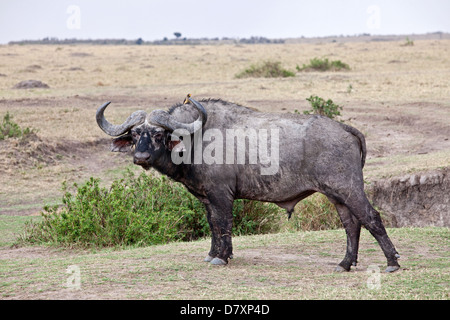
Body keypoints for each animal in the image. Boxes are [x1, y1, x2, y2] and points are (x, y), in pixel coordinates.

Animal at [96, 95, 400, 272]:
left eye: (159, 134)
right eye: (136, 134)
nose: (141, 157)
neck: (197, 138)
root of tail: (345, 128)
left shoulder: (221, 196)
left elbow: (224, 224)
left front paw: (221, 257)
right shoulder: (207, 199)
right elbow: (213, 226)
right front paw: (215, 253)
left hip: (349, 189)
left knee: (371, 217)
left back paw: (392, 262)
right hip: (337, 196)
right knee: (352, 225)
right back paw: (345, 264)